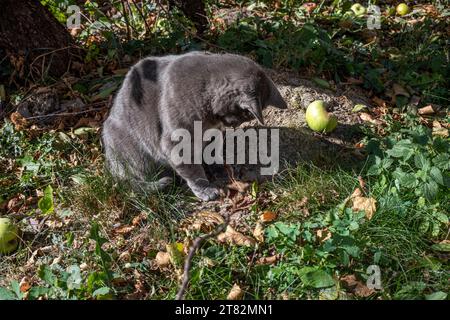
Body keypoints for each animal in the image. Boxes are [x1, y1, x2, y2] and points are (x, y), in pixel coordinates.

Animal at [101, 50, 284, 200]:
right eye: (246, 114)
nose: (234, 124)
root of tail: (110, 164)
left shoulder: (214, 132)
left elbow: (212, 152)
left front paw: (221, 169)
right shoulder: (177, 142)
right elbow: (193, 171)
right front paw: (206, 190)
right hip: (130, 152)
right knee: (133, 181)